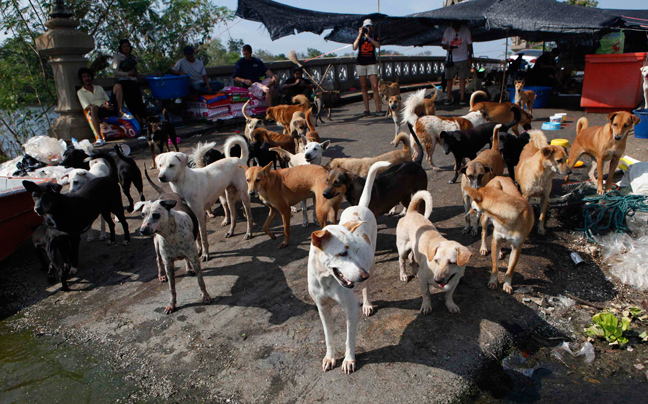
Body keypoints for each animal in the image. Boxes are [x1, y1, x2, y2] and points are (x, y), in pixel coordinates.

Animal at [306, 159, 388, 374]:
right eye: (342, 253)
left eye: (356, 250)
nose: (363, 275)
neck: (326, 280)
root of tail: (359, 206)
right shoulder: (322, 307)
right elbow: (328, 336)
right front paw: (330, 358)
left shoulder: (350, 308)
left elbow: (349, 339)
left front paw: (349, 360)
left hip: (371, 264)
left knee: (366, 289)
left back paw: (367, 304)